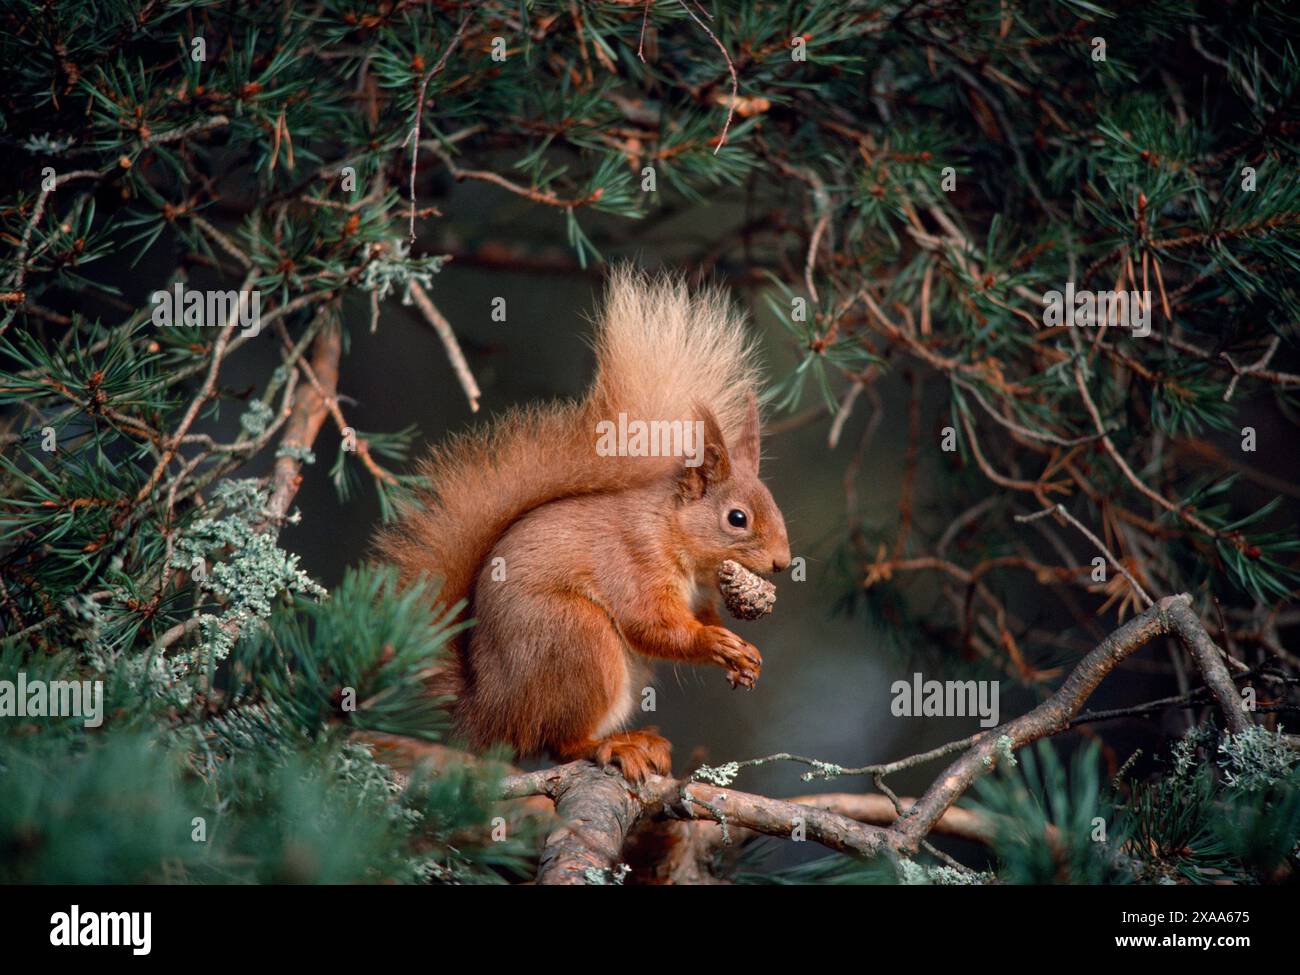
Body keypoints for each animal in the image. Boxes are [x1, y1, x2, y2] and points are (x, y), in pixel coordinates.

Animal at [371, 269, 785, 785]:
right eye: (737, 518)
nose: (783, 563)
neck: (671, 532)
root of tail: (487, 712)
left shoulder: (700, 595)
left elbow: (700, 616)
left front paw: (745, 656)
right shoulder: (634, 562)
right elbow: (652, 626)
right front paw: (713, 643)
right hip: (576, 639)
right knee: (562, 743)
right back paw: (616, 746)